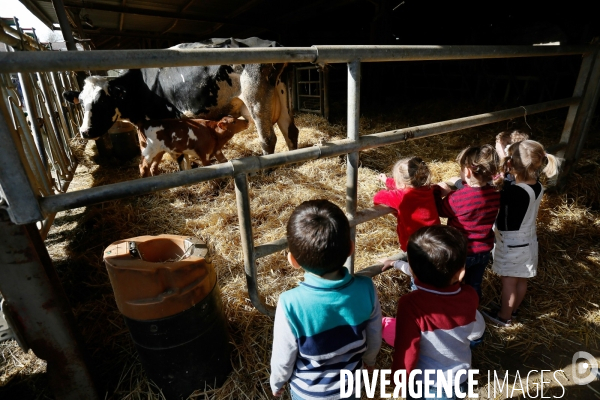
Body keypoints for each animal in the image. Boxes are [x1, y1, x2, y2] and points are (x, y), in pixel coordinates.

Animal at [63, 37, 300, 155]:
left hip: (256, 100)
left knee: (268, 139)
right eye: (81, 103)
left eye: (103, 101)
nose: (85, 131)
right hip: (281, 96)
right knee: (290, 130)